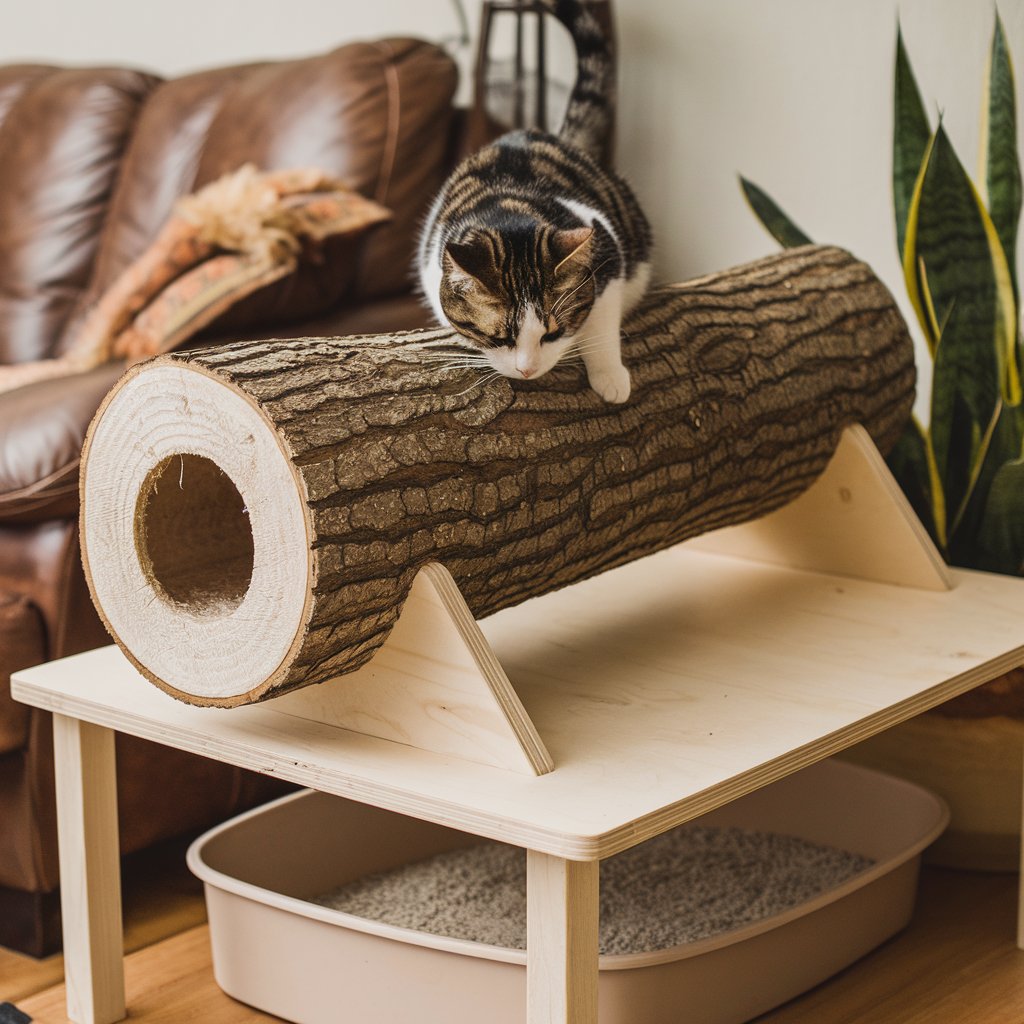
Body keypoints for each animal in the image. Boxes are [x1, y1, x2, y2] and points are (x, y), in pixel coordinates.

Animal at [413, 0, 647, 405]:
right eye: (501, 338)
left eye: (552, 333)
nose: (528, 369)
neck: (510, 213)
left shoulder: (608, 251)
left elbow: (600, 321)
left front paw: (610, 376)